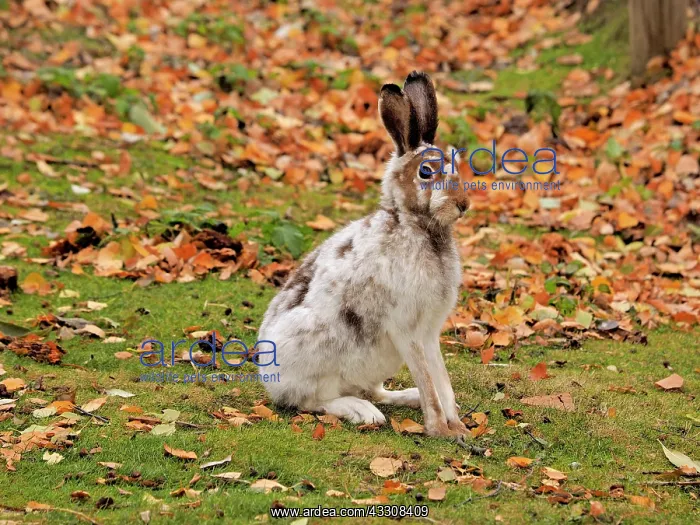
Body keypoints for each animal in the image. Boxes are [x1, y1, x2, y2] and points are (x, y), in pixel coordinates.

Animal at [257, 71, 470, 438]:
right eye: (426, 172)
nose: (463, 204)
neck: (415, 226)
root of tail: (269, 379)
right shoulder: (407, 329)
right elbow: (430, 382)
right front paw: (439, 429)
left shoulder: (429, 332)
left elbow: (441, 379)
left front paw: (457, 426)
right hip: (314, 353)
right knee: (312, 401)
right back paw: (362, 412)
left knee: (374, 390)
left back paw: (404, 397)